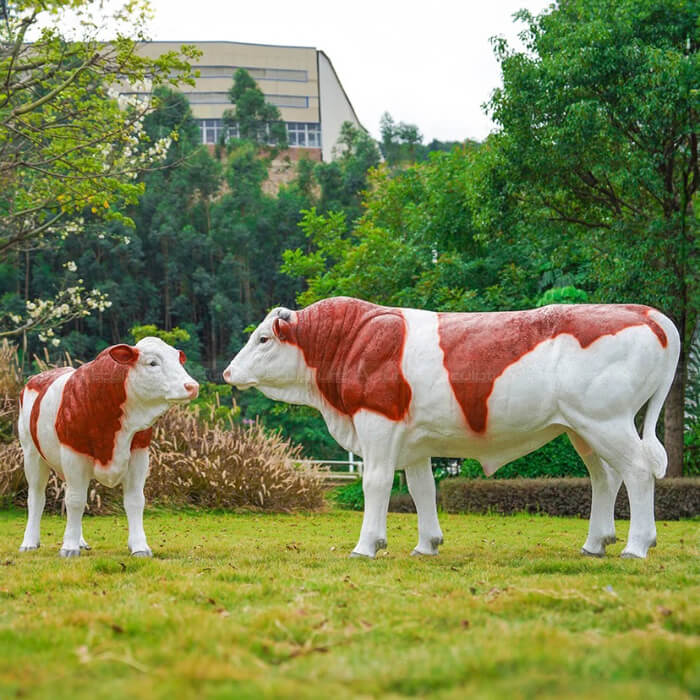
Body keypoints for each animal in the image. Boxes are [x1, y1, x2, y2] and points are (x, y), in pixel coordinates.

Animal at [18, 337, 199, 557]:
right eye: (152, 363)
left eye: (178, 360)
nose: (192, 386)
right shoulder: (73, 453)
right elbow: (75, 500)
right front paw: (68, 547)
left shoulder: (139, 452)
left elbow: (135, 500)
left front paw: (140, 547)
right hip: (31, 454)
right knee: (37, 497)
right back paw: (29, 543)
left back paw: (80, 542)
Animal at [223, 297, 679, 560]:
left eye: (263, 339)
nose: (227, 372)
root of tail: (643, 311)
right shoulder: (414, 439)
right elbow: (421, 488)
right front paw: (426, 545)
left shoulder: (377, 421)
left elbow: (376, 482)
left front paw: (366, 546)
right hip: (583, 429)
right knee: (606, 477)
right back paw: (596, 543)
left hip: (606, 421)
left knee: (639, 470)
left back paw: (637, 546)